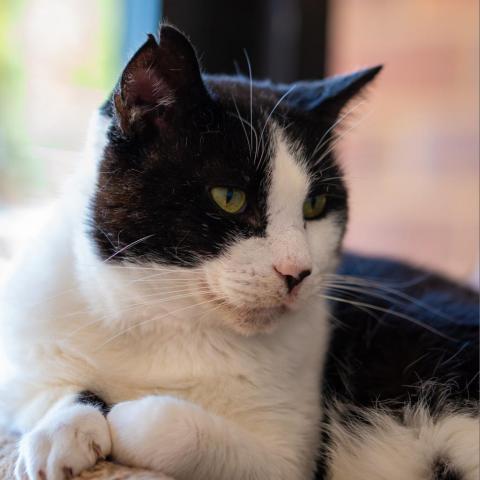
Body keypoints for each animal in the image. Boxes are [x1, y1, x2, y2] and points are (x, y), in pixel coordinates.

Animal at [0, 24, 478, 480]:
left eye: (315, 205)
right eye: (229, 197)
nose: (297, 271)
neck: (165, 322)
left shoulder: (291, 461)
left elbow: (175, 428)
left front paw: (121, 417)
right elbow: (46, 386)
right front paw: (60, 432)